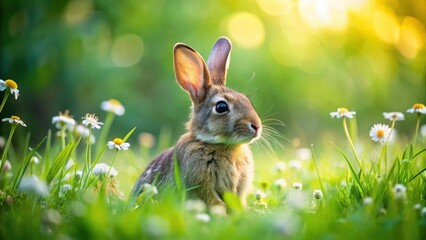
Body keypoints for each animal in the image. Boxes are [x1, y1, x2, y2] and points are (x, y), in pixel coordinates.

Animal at [131, 36, 262, 207]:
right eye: (221, 107)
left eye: (247, 100)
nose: (257, 126)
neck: (220, 145)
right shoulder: (202, 186)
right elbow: (214, 202)